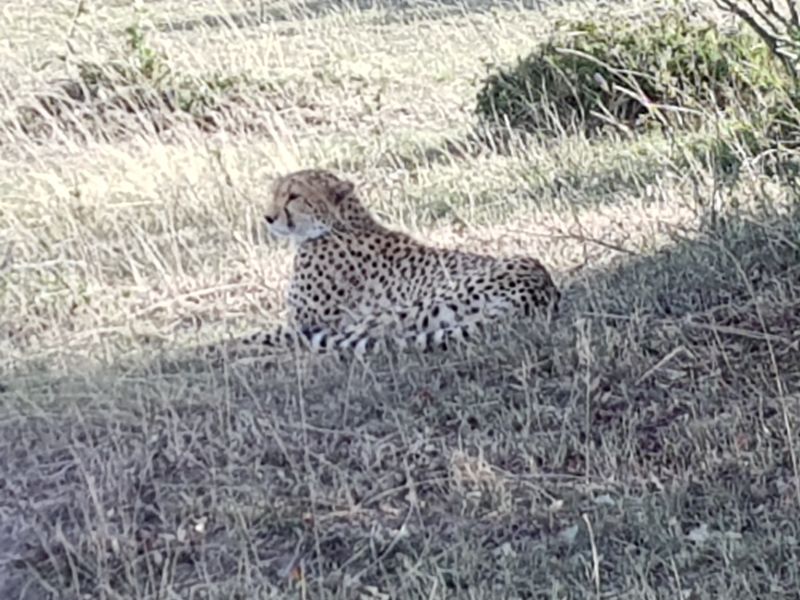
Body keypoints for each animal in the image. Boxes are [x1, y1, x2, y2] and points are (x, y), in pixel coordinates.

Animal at [217, 166, 556, 358]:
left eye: (294, 196)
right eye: (274, 193)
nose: (268, 217)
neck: (338, 224)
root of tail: (540, 288)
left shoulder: (312, 322)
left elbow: (266, 333)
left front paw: (220, 348)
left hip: (395, 314)